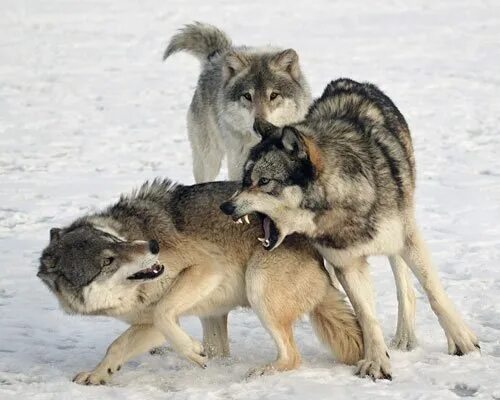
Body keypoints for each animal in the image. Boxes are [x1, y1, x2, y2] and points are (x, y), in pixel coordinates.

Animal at [37, 179, 363, 385]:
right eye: (107, 260)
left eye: (116, 241)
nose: (153, 246)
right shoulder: (149, 325)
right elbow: (117, 346)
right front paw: (97, 375)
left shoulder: (207, 268)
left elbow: (163, 313)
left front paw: (192, 351)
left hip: (257, 286)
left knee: (292, 357)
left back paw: (261, 372)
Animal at [220, 78, 480, 380]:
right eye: (244, 179)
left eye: (263, 181)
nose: (226, 207)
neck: (340, 205)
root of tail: (349, 82)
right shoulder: (346, 264)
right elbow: (366, 316)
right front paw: (377, 362)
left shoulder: (407, 239)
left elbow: (434, 292)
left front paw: (462, 341)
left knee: (404, 281)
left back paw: (405, 335)